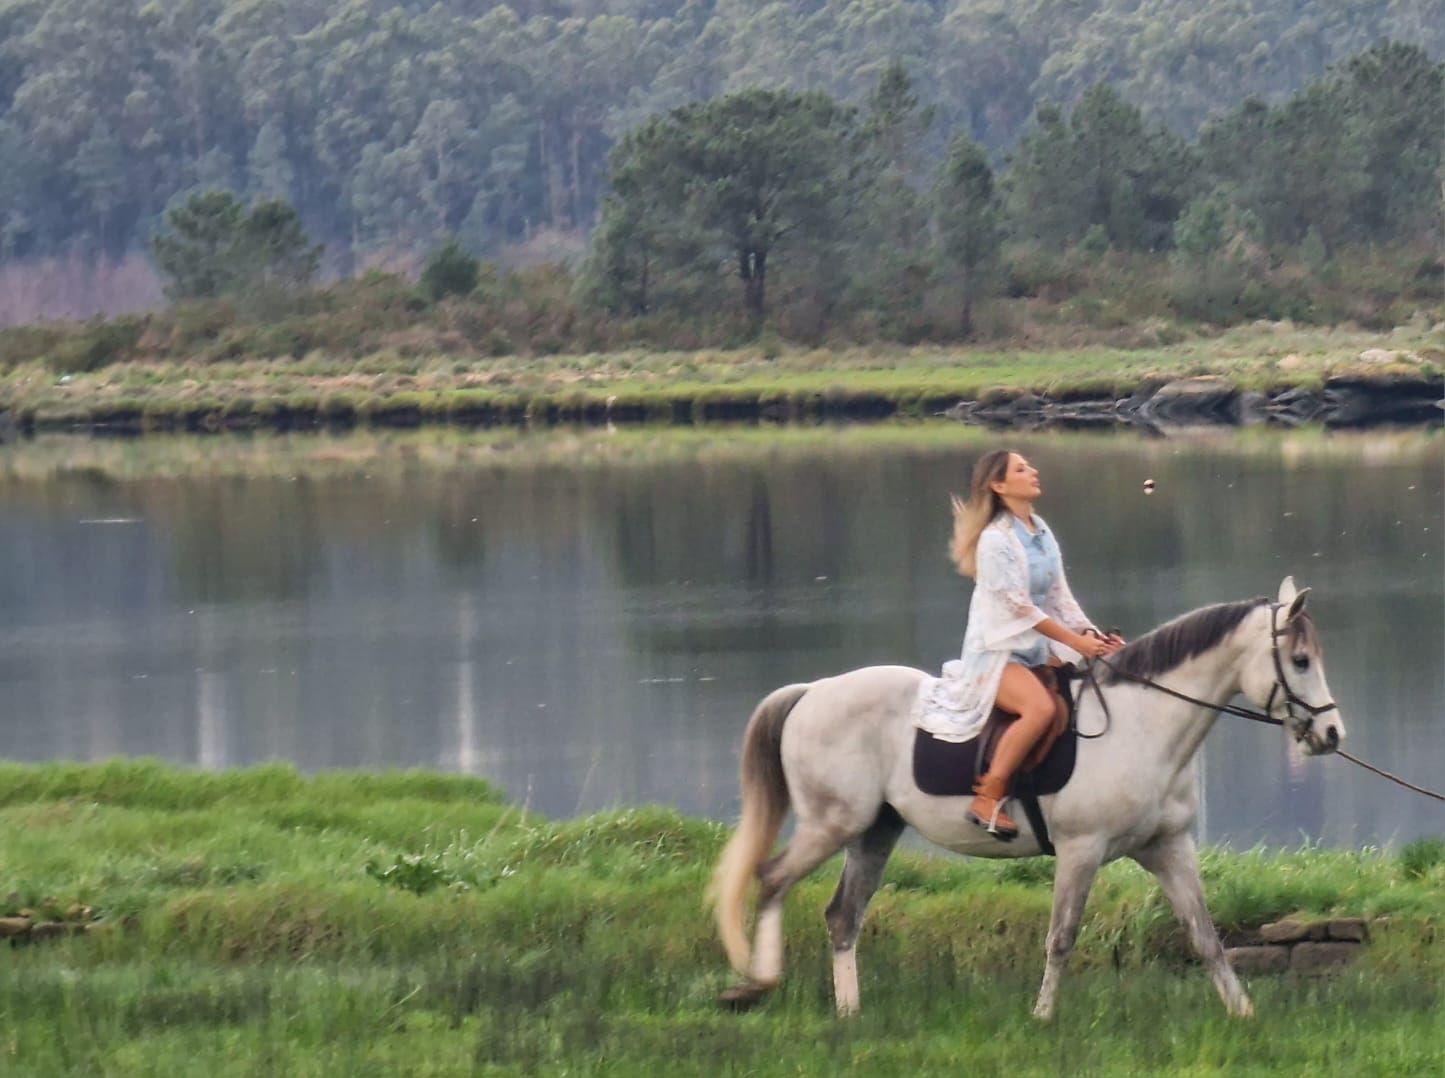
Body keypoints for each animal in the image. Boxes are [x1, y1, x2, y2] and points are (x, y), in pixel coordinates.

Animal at [710, 572, 1340, 1017]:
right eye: (1300, 661)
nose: (1332, 735)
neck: (1145, 724)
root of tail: (811, 691)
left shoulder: (1168, 847)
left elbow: (1206, 937)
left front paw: (1242, 1013)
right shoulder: (1081, 851)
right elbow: (1061, 938)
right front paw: (1042, 1017)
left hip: (874, 832)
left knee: (844, 916)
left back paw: (849, 1013)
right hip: (831, 825)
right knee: (772, 879)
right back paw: (759, 982)